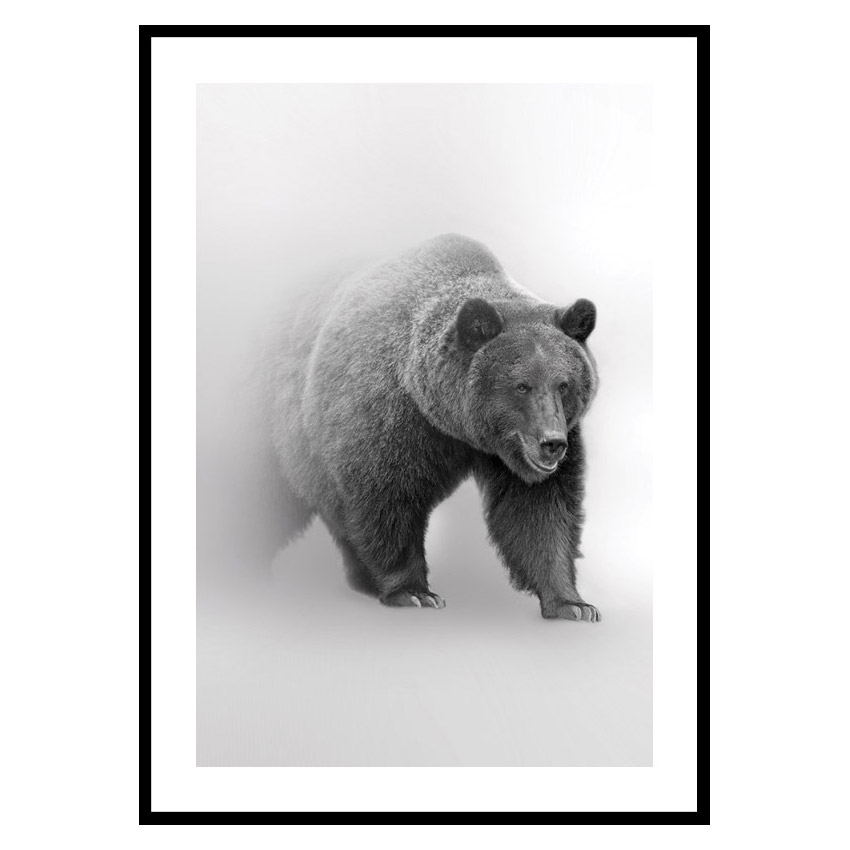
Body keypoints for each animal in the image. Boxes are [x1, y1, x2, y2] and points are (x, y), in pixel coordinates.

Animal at [261, 233, 600, 621]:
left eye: (564, 384)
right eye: (521, 385)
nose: (551, 443)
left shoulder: (521, 450)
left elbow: (540, 510)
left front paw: (572, 603)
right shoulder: (386, 419)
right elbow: (386, 498)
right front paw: (414, 592)